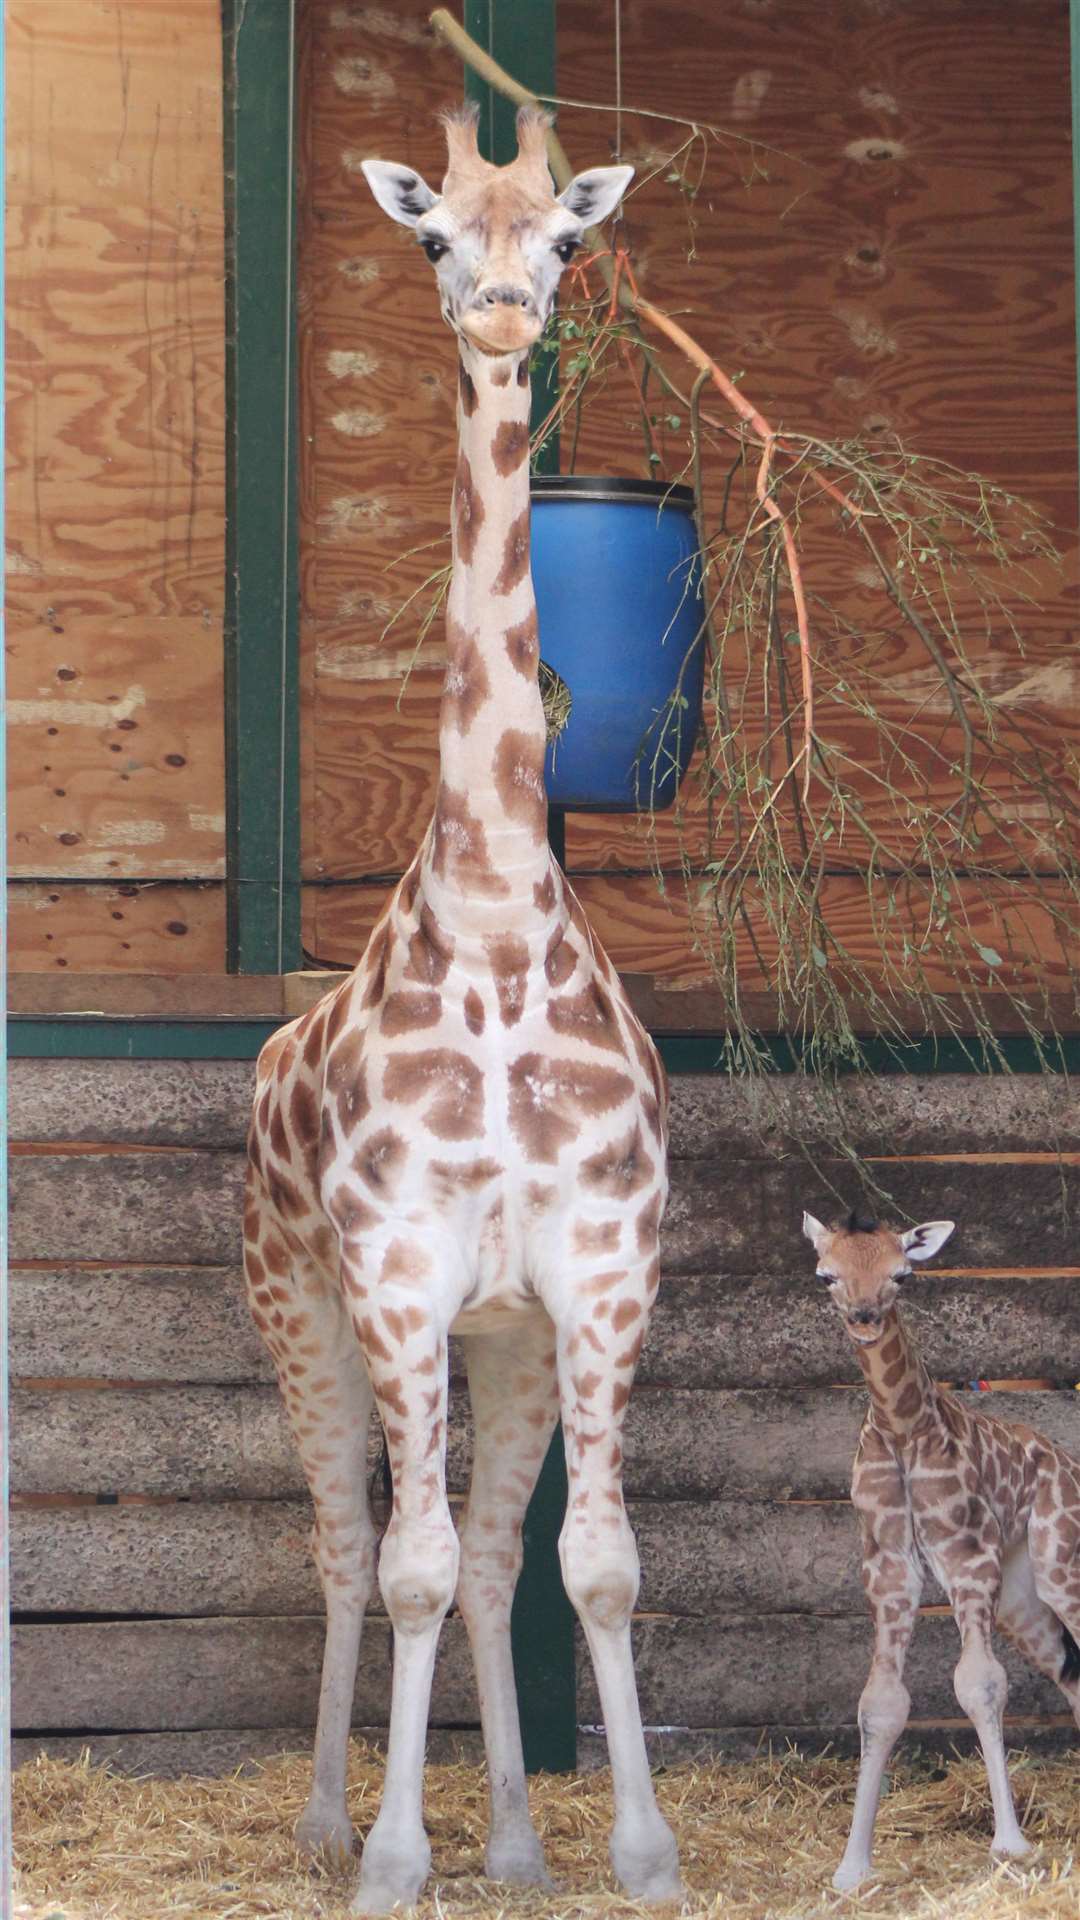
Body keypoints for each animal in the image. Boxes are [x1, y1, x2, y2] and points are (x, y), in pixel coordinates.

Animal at [799, 1205, 1076, 1896]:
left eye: (903, 1274)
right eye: (825, 1275)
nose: (865, 1318)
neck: (902, 1428)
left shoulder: (966, 1556)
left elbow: (980, 1685)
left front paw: (1010, 1844)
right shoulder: (889, 1569)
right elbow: (880, 1705)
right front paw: (851, 1868)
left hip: (1062, 1564)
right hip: (1024, 1596)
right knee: (1070, 1672)